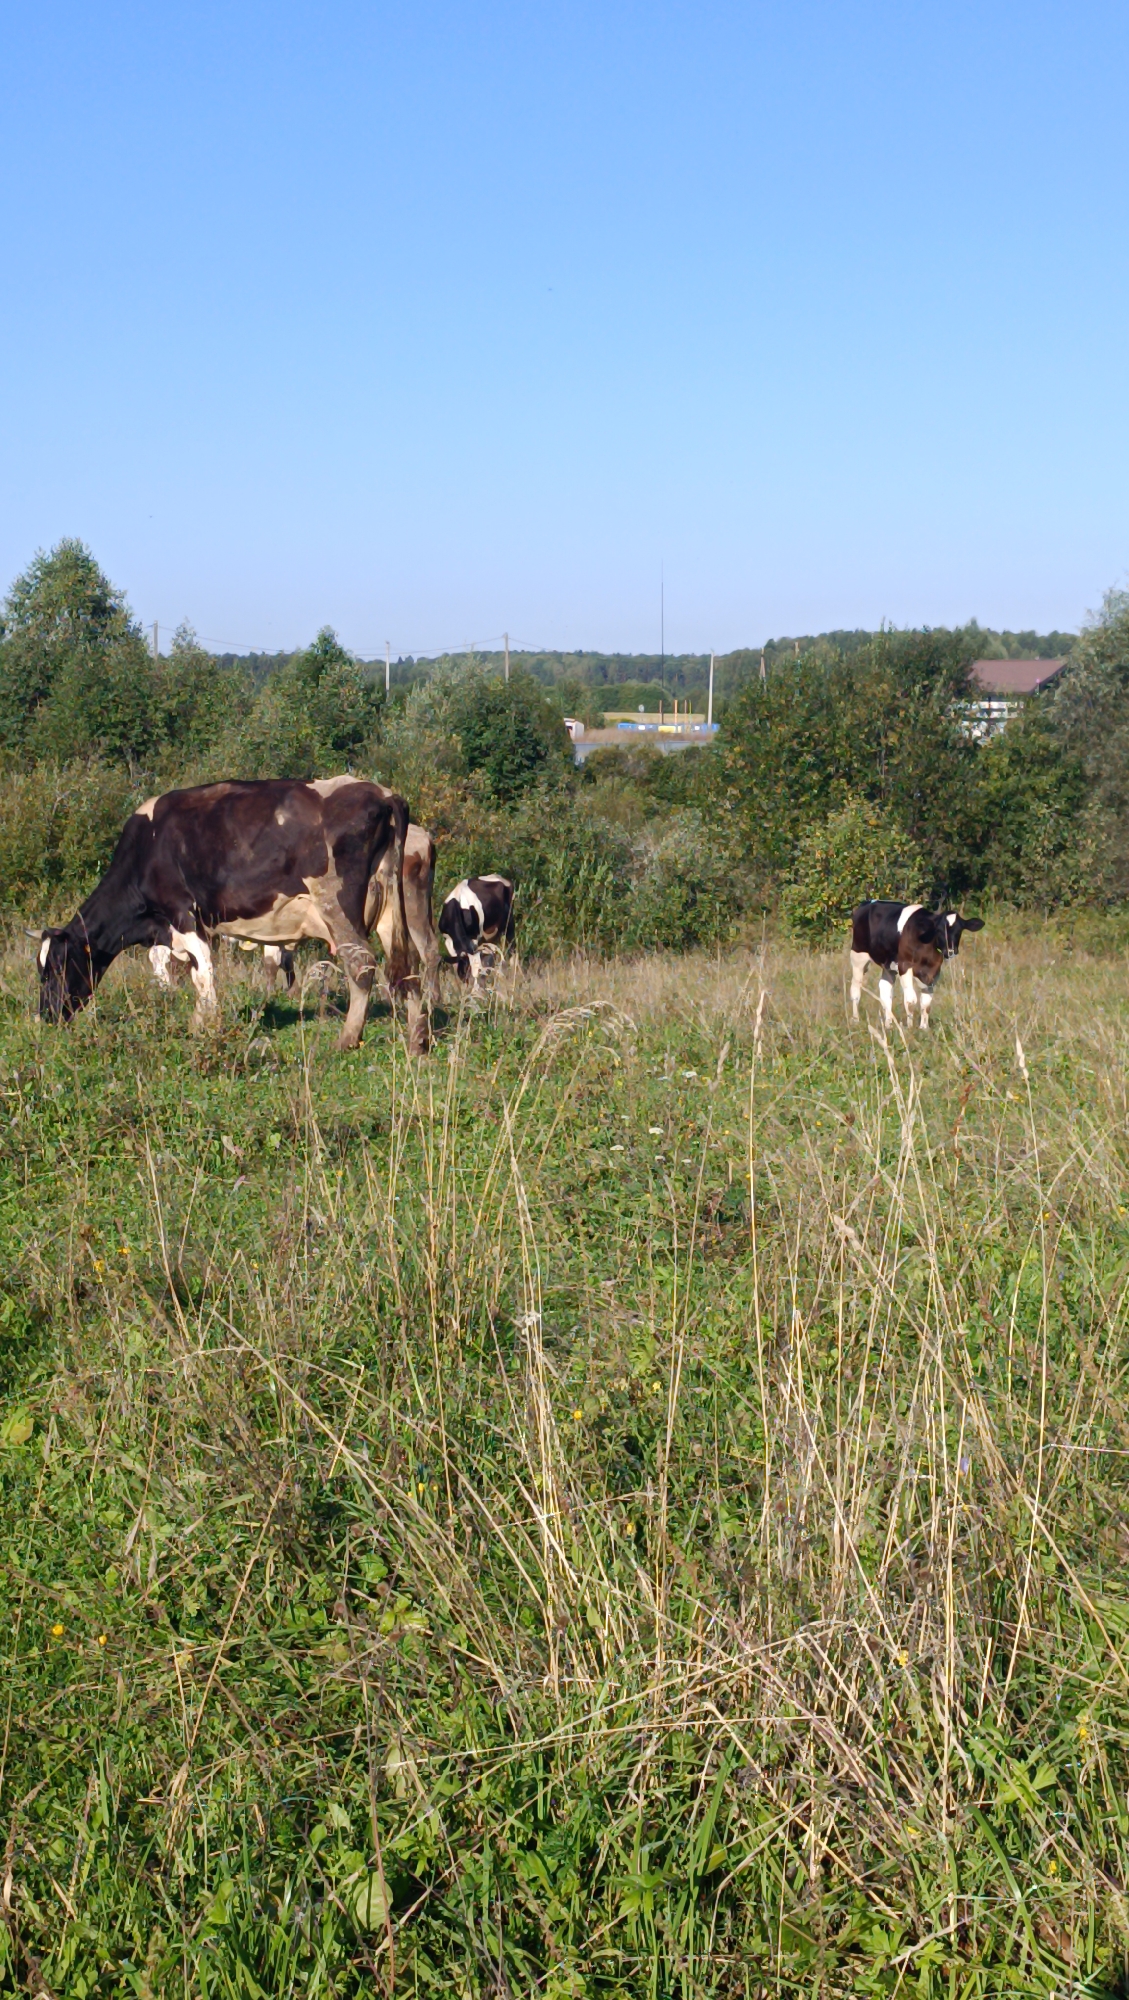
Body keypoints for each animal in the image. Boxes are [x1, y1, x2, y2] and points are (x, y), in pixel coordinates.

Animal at [38, 775, 426, 1052]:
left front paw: (206, 1025)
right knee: (408, 966)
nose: (47, 1016)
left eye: (56, 965)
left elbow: (203, 973)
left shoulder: (183, 914)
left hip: (337, 905)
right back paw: (417, 1039)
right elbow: (195, 974)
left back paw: (347, 1039)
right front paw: (201, 1021)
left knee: (362, 964)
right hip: (390, 909)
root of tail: (382, 793)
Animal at [849, 901, 984, 1030]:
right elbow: (910, 1000)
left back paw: (888, 1025)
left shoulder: (934, 970)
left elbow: (926, 1002)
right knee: (855, 989)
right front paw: (910, 1028)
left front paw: (923, 1028)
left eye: (959, 930)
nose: (950, 951)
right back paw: (855, 1020)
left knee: (885, 990)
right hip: (858, 956)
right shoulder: (904, 965)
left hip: (888, 964)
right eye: (939, 930)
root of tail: (866, 903)